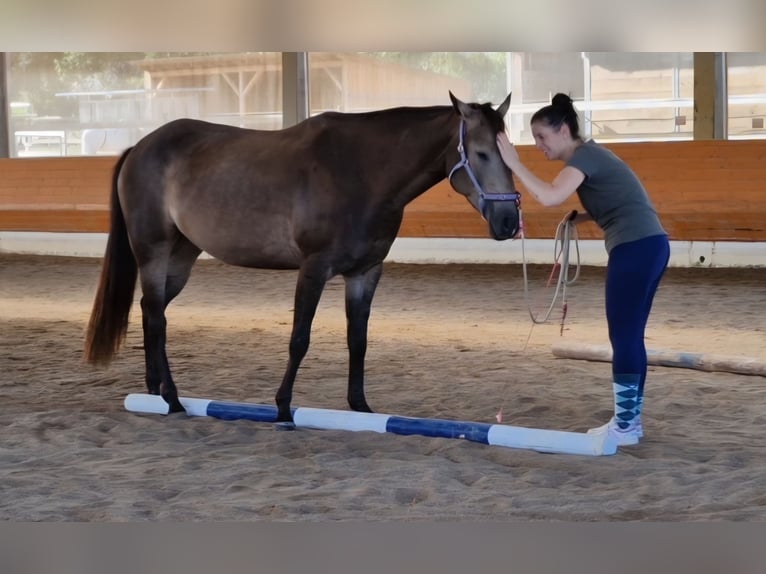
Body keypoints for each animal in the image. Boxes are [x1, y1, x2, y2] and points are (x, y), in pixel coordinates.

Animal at [83, 91, 521, 426]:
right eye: (481, 153)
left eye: (509, 154)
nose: (508, 222)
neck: (361, 171)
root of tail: (140, 147)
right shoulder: (313, 269)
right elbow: (299, 339)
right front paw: (282, 409)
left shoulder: (365, 273)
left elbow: (358, 340)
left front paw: (360, 408)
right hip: (154, 252)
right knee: (156, 317)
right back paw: (172, 399)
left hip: (181, 255)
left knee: (150, 311)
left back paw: (154, 391)